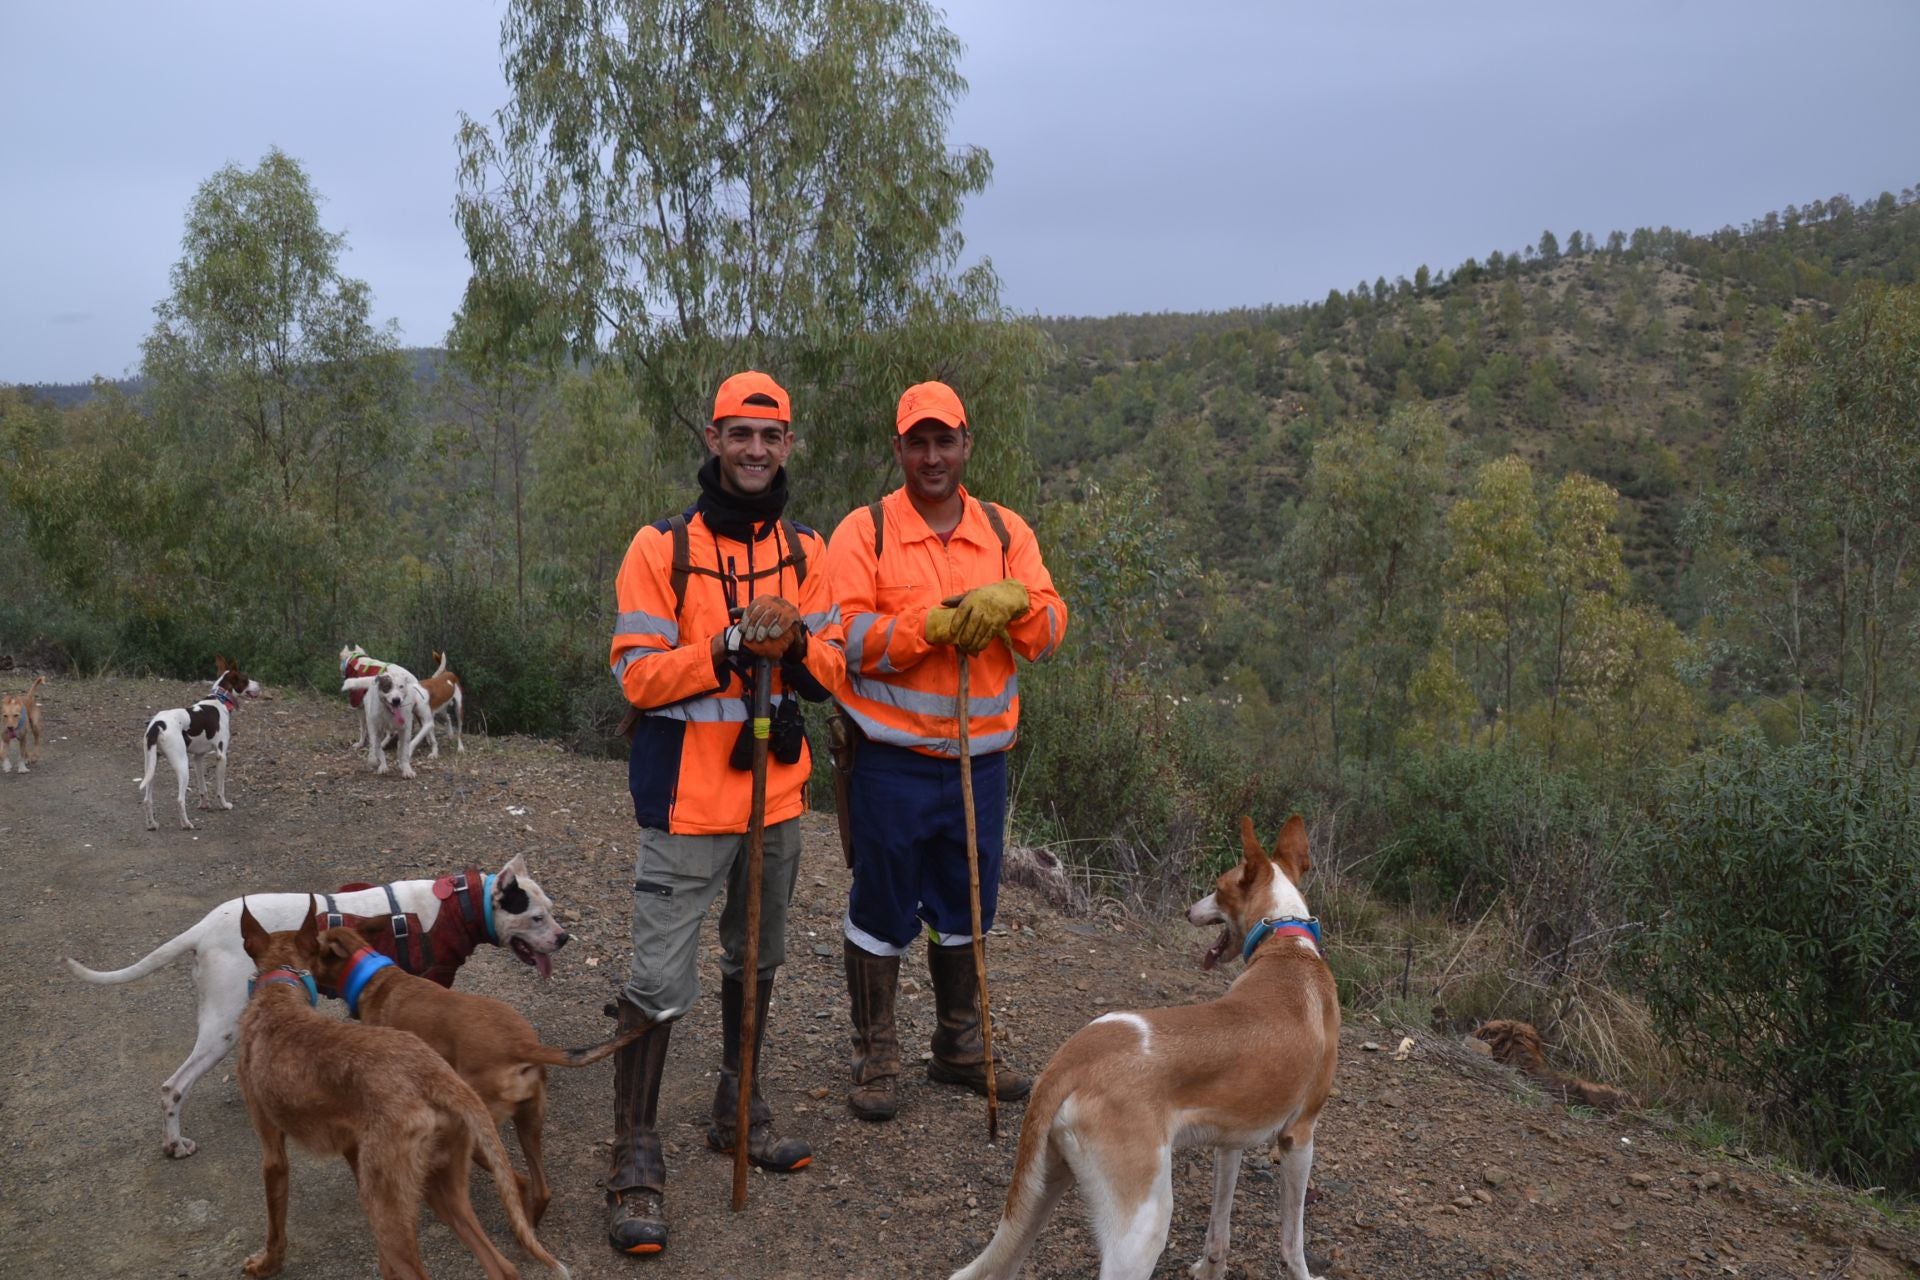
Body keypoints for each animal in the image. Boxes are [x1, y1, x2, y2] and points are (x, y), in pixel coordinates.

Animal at [61, 852, 568, 1159]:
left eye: (553, 911)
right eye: (535, 916)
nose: (565, 937)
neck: (459, 907)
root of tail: (202, 928)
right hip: (221, 1026)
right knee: (173, 1087)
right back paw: (175, 1143)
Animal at [139, 660, 259, 832]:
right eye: (246, 679)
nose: (259, 685)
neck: (220, 699)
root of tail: (157, 724)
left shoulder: (198, 758)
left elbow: (203, 787)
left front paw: (204, 804)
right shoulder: (221, 756)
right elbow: (220, 789)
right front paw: (224, 805)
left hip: (151, 766)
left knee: (147, 799)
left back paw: (152, 824)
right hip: (182, 765)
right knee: (180, 799)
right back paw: (186, 824)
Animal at [229, 901, 564, 1280]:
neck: (279, 997)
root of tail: (436, 1078)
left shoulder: (272, 1148)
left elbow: (275, 1221)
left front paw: (267, 1263)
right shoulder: (352, 1147)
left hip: (391, 1204)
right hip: (442, 1184)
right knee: (504, 1260)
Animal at [311, 921, 648, 1220]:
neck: (376, 978)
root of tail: (521, 1044)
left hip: (479, 1132)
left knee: (518, 1181)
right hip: (529, 1124)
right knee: (540, 1190)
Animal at [952, 821, 1344, 1280]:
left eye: (1217, 887)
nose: (1189, 911)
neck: (1287, 944)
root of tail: (1071, 1061)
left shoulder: (1229, 1143)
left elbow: (1218, 1230)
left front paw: (1210, 1270)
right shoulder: (1299, 1137)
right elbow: (1292, 1241)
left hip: (1042, 1190)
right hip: (1142, 1228)